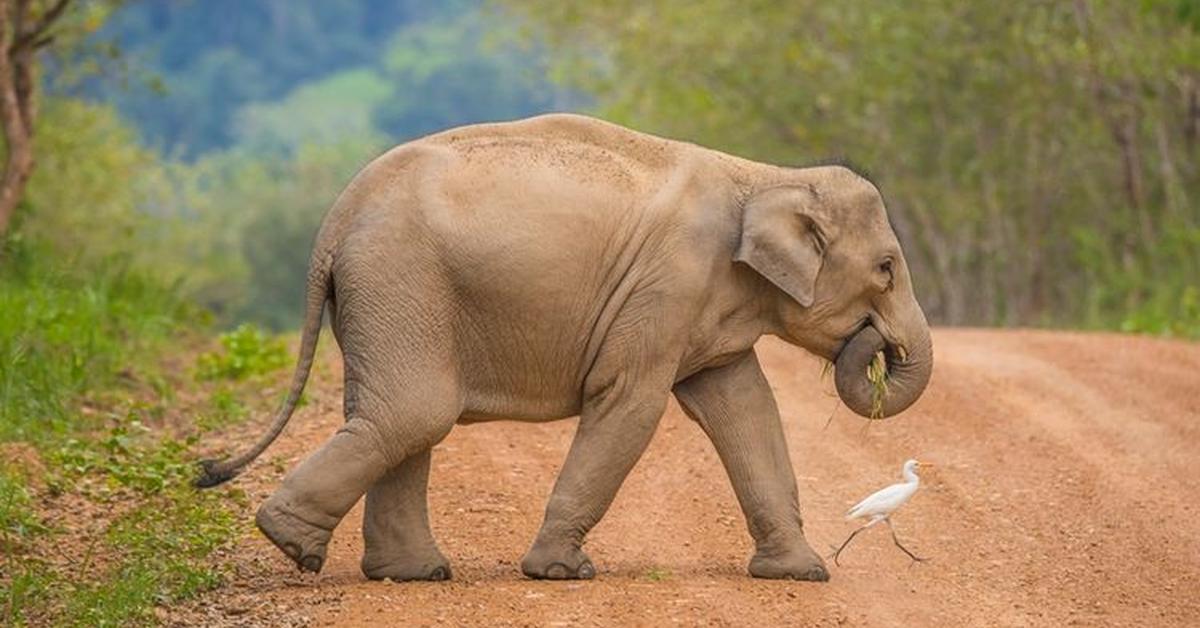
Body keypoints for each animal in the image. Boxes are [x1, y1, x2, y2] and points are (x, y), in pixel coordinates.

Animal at [196, 112, 931, 585]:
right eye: (887, 269)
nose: (874, 340)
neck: (763, 177)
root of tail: (336, 216)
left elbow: (744, 408)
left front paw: (802, 575)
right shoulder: (666, 287)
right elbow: (631, 405)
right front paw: (560, 573)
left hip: (388, 296)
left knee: (396, 417)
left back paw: (412, 575)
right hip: (400, 280)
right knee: (414, 414)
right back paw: (295, 547)